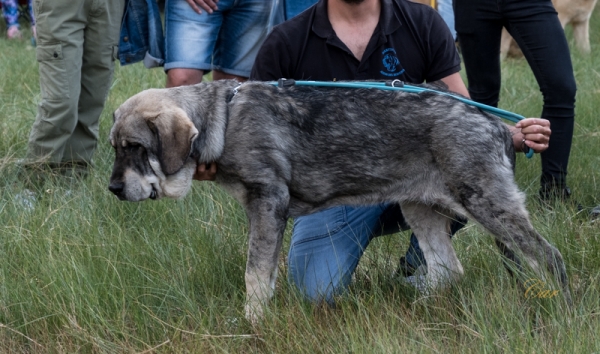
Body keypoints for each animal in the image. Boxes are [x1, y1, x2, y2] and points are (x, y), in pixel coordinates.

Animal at [108, 79, 572, 322]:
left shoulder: (267, 202)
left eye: (135, 148)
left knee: (548, 256)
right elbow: (265, 273)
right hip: (420, 209)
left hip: (489, 205)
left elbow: (254, 274)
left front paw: (252, 321)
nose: (113, 190)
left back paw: (563, 306)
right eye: (115, 148)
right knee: (447, 268)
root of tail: (496, 126)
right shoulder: (263, 214)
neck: (223, 118)